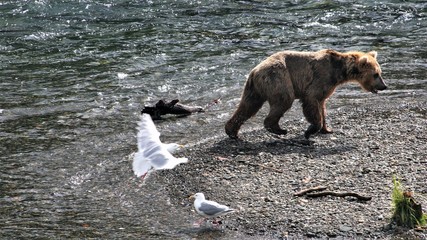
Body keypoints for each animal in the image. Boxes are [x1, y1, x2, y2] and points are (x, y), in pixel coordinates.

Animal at [226, 49, 390, 140]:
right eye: (376, 74)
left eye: (380, 72)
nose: (384, 86)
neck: (340, 72)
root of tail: (254, 71)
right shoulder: (321, 77)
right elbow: (312, 101)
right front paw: (311, 130)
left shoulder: (328, 86)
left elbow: (322, 105)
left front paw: (327, 129)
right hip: (279, 78)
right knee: (284, 100)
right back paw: (279, 129)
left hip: (255, 88)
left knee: (248, 106)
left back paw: (232, 131)